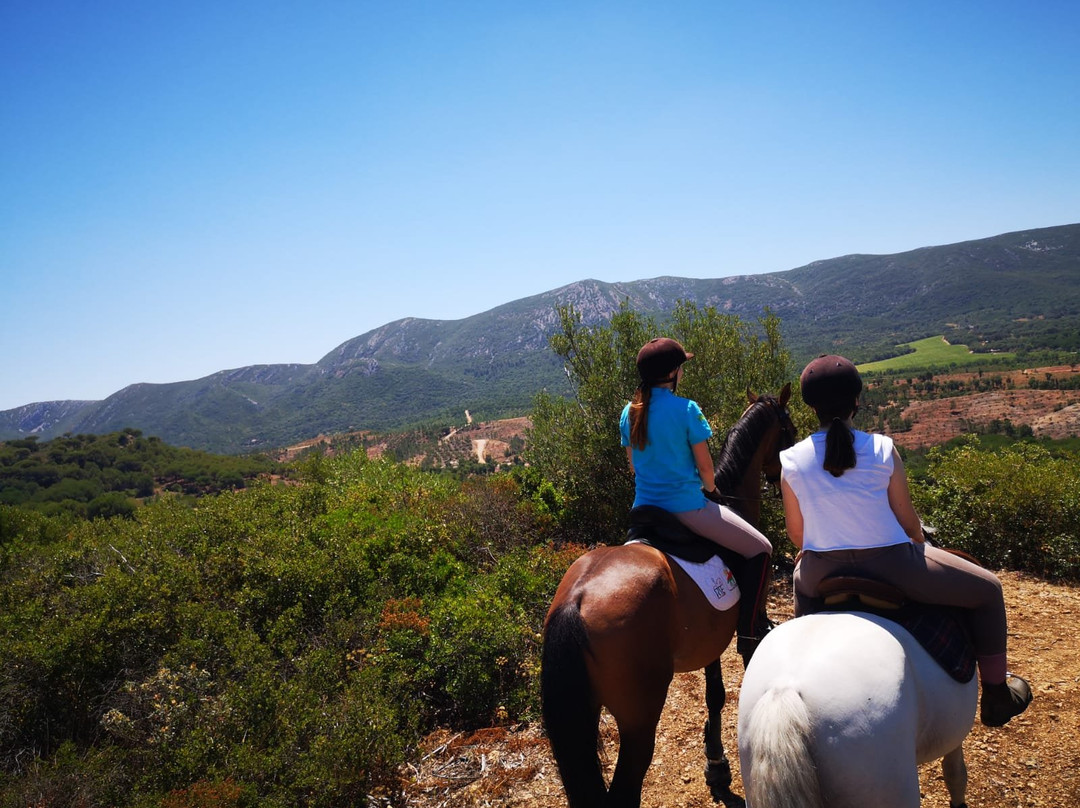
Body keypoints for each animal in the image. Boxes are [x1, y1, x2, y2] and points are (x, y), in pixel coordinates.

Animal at [541, 384, 795, 808]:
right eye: (789, 432)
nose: (783, 479)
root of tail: (577, 601)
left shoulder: (710, 639)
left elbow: (714, 694)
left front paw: (716, 764)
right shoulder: (744, 625)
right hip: (638, 719)